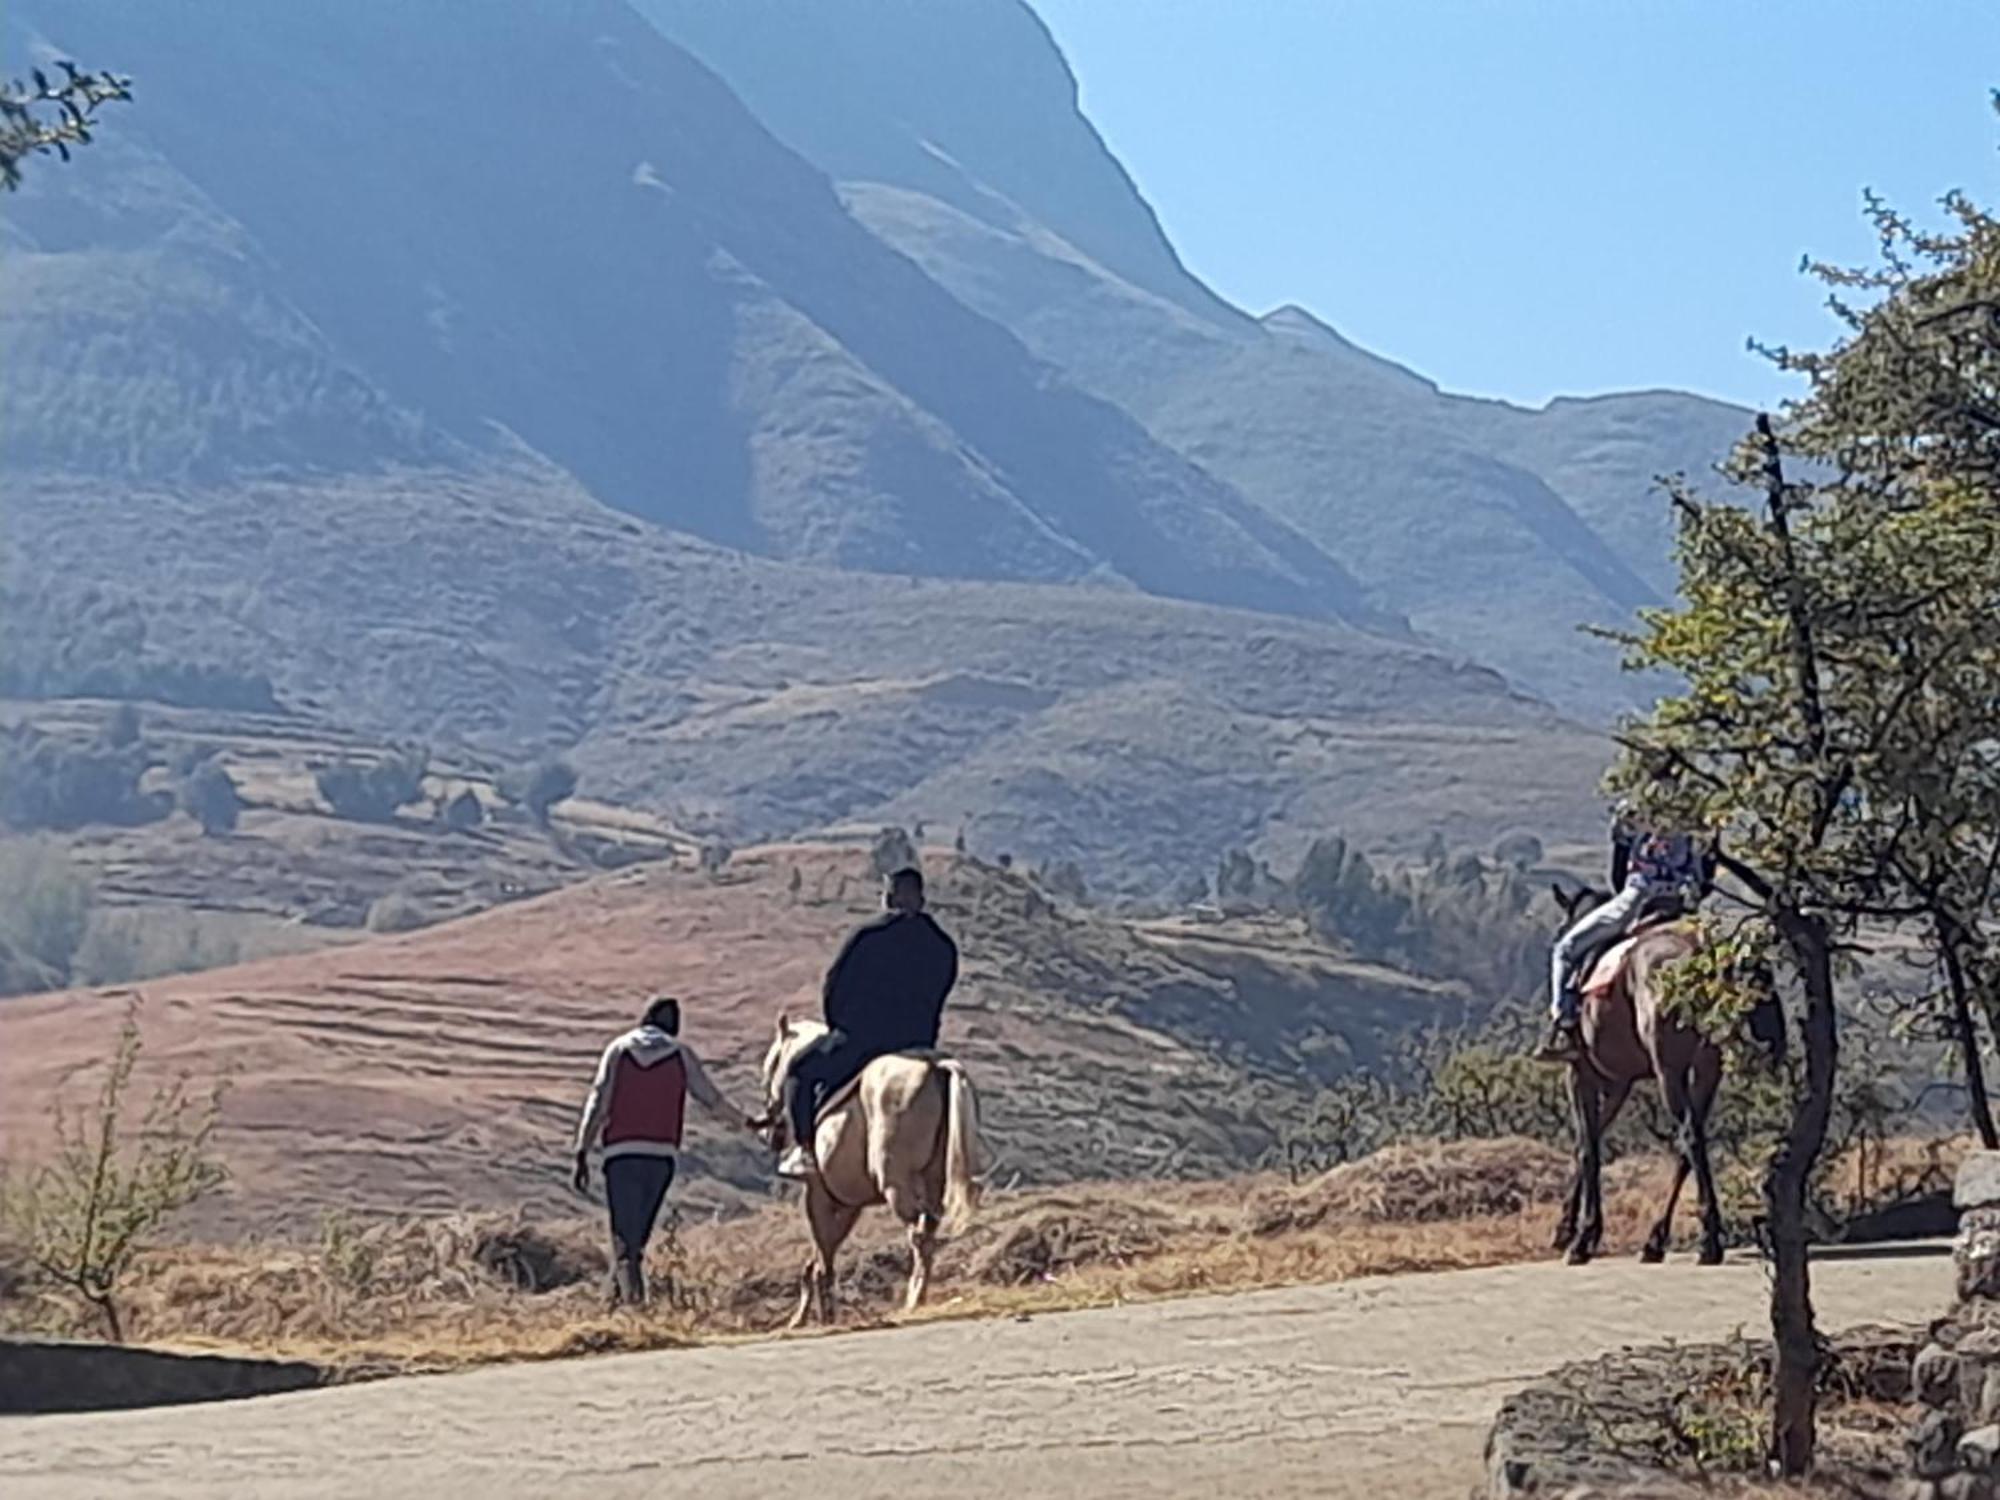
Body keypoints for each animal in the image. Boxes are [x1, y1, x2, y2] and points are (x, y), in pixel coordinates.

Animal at [756, 1024, 984, 1328]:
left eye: (771, 1064)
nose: (770, 1134)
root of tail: (935, 1065)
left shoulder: (818, 1194)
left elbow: (823, 1251)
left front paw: (821, 1315)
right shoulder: (849, 1204)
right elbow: (821, 1253)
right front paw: (811, 1313)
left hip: (895, 1184)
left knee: (919, 1234)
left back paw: (914, 1299)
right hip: (932, 1182)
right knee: (929, 1228)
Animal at [1544, 888, 1784, 1272]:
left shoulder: (1580, 1072)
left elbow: (1588, 1147)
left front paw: (1582, 1237)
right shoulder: (1618, 1083)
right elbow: (1589, 1140)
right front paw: (1568, 1228)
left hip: (1668, 1070)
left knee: (1689, 1136)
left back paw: (1707, 1242)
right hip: (1707, 1067)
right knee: (1690, 1140)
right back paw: (1657, 1240)